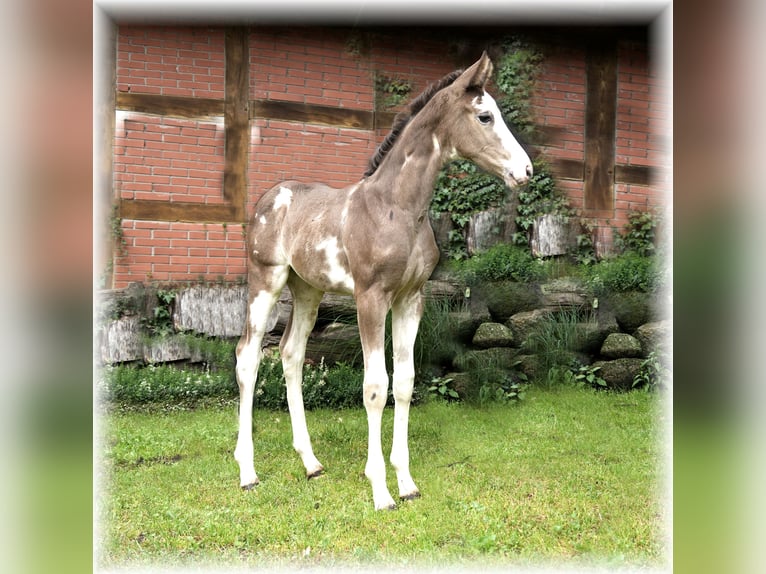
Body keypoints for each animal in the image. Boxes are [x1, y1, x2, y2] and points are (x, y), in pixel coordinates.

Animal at [234, 52, 532, 510]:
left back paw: (310, 463)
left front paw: (406, 482)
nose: (526, 170)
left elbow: (405, 383)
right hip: (266, 280)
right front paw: (380, 490)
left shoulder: (411, 299)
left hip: (308, 290)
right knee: (247, 356)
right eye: (485, 116)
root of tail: (270, 197)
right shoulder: (370, 297)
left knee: (290, 354)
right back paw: (247, 472)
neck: (398, 208)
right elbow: (375, 386)